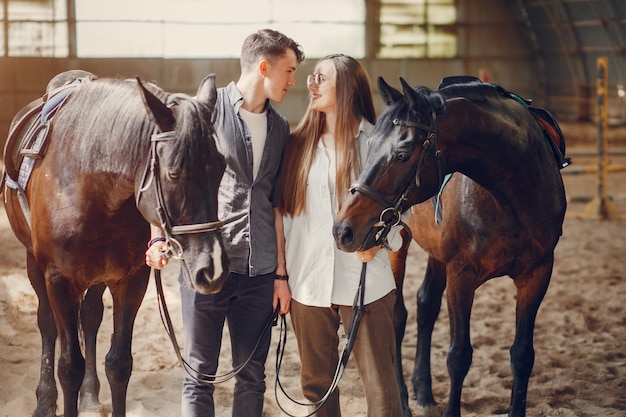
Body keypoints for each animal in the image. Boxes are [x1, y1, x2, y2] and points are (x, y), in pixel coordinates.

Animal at [2, 71, 228, 416]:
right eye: (174, 174)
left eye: (221, 167)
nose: (212, 268)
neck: (89, 183)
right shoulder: (59, 281)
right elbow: (69, 367)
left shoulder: (132, 280)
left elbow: (119, 364)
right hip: (34, 265)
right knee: (47, 324)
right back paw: (45, 401)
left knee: (90, 316)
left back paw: (90, 395)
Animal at [334, 75, 568, 416]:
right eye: (370, 147)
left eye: (402, 154)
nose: (343, 230)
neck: (513, 194)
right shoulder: (462, 275)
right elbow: (459, 356)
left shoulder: (537, 273)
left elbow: (523, 355)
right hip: (398, 245)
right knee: (399, 317)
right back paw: (404, 399)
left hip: (437, 254)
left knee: (426, 304)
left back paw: (423, 390)